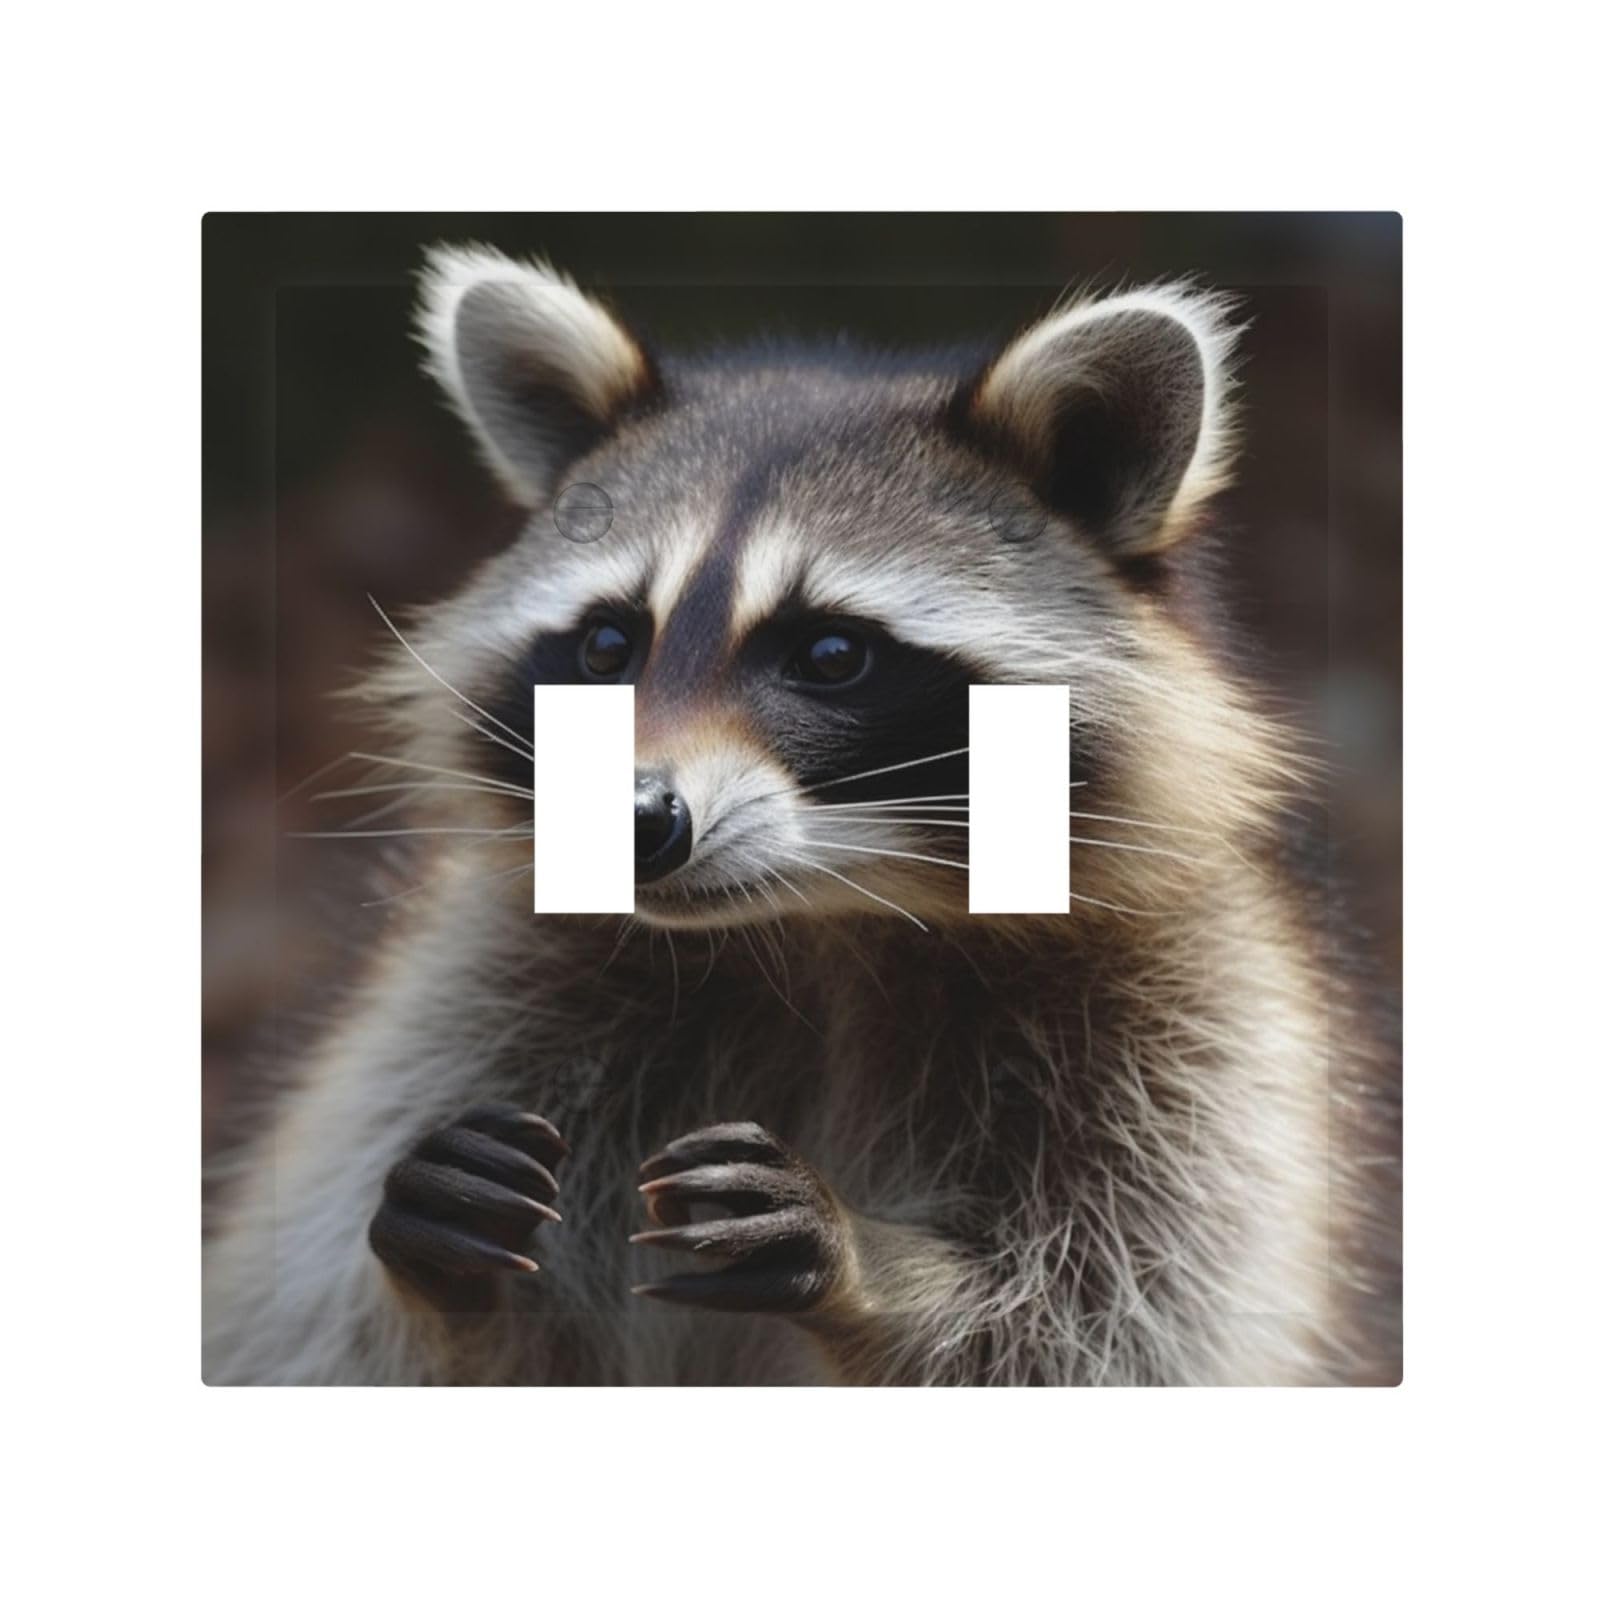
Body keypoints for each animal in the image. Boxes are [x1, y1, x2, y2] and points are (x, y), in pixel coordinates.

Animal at [203, 245, 1399, 1386]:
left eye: (830, 654)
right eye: (606, 645)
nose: (630, 821)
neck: (813, 923)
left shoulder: (1193, 1026)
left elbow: (1108, 1321)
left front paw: (880, 1274)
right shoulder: (486, 988)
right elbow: (331, 1322)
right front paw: (444, 1284)